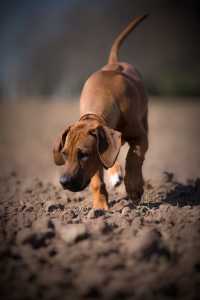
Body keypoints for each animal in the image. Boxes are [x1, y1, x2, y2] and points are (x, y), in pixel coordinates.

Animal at [52, 14, 149, 210]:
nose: (63, 182)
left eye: (83, 154)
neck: (103, 93)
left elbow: (134, 157)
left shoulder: (140, 137)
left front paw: (133, 187)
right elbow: (97, 177)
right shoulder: (99, 149)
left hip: (145, 120)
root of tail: (114, 62)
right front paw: (100, 208)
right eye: (64, 153)